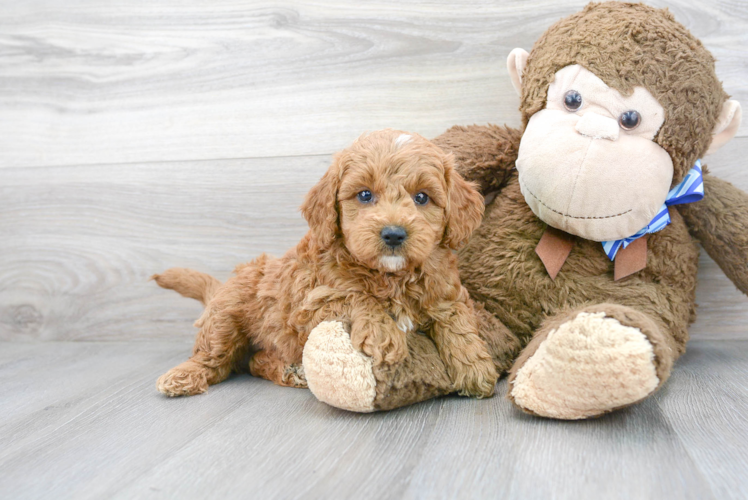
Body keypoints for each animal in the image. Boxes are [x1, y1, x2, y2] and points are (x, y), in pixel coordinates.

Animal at [153, 129, 496, 398]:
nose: (394, 234)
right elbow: (356, 296)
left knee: (254, 361)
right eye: (365, 195)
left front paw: (475, 366)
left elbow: (455, 319)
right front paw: (383, 333)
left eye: (422, 198)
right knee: (215, 356)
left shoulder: (445, 291)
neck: (390, 275)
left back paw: (290, 371)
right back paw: (183, 376)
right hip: (226, 315)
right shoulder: (311, 303)